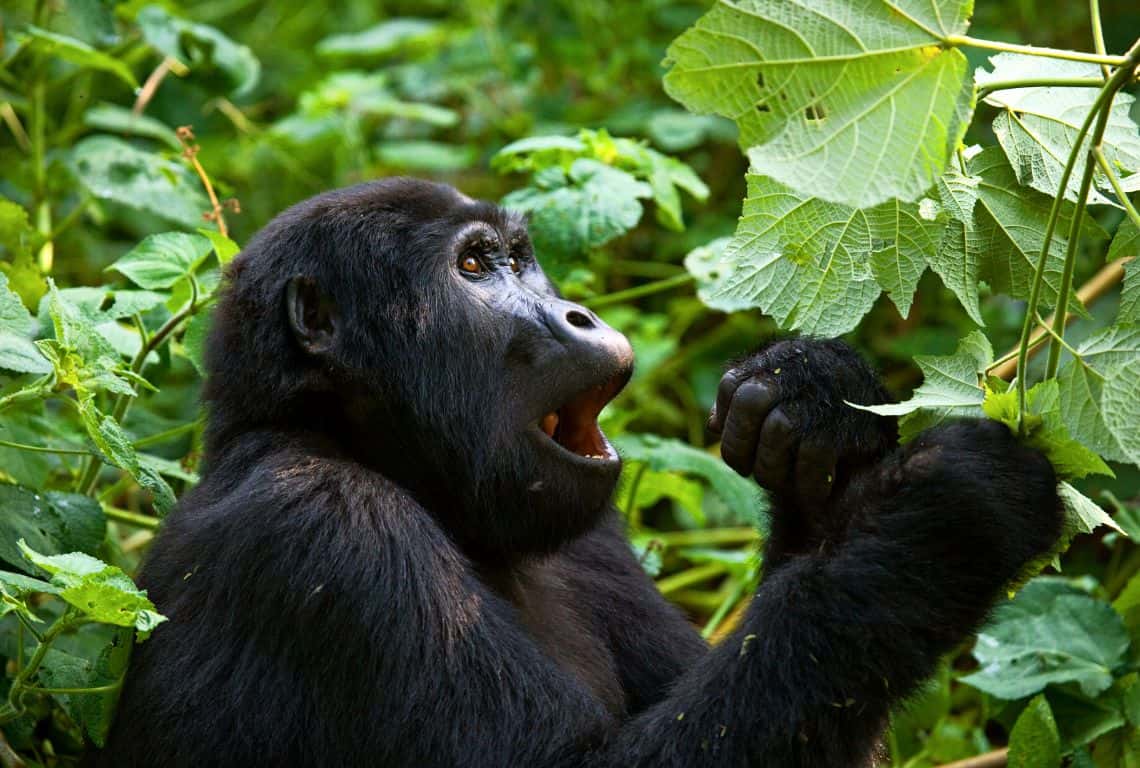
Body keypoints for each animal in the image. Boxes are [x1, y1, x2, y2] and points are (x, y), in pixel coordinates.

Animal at [93, 177, 1062, 765]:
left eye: (523, 259)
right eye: (474, 267)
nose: (580, 314)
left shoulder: (590, 537)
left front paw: (815, 404)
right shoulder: (324, 528)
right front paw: (943, 521)